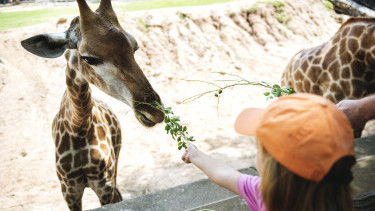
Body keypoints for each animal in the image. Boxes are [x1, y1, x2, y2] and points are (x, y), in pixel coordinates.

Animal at [20, 0, 164, 209]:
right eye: (88, 57)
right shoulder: (69, 191)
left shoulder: (103, 185)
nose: (155, 112)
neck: (78, 126)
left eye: (134, 47)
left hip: (116, 164)